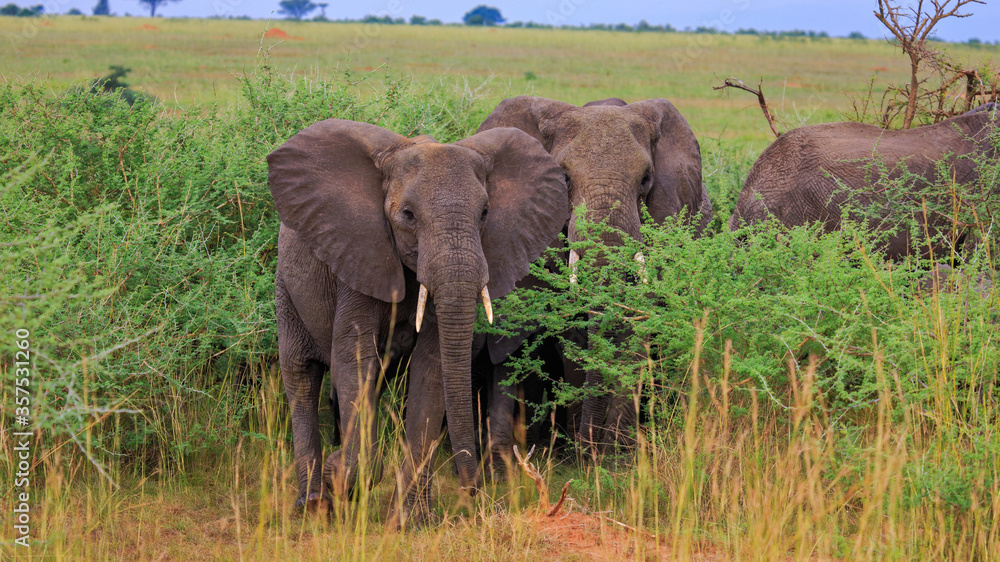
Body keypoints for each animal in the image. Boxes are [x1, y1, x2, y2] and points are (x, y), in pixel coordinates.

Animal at [266, 118, 568, 528]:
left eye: (485, 212)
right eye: (408, 215)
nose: (472, 490)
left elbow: (431, 367)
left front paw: (409, 522)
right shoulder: (360, 253)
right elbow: (355, 358)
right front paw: (339, 479)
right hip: (287, 286)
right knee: (301, 375)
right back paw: (312, 505)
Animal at [475, 95, 712, 462]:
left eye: (646, 179)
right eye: (565, 178)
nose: (591, 448)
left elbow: (637, 325)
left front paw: (617, 454)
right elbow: (572, 330)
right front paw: (581, 454)